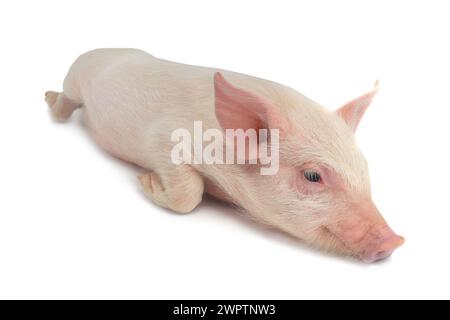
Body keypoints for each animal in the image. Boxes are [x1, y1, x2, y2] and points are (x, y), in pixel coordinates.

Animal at [44, 48, 404, 262]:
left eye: (364, 167)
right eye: (313, 176)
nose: (394, 241)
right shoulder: (163, 140)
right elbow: (189, 193)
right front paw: (145, 180)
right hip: (73, 80)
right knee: (64, 104)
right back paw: (49, 100)